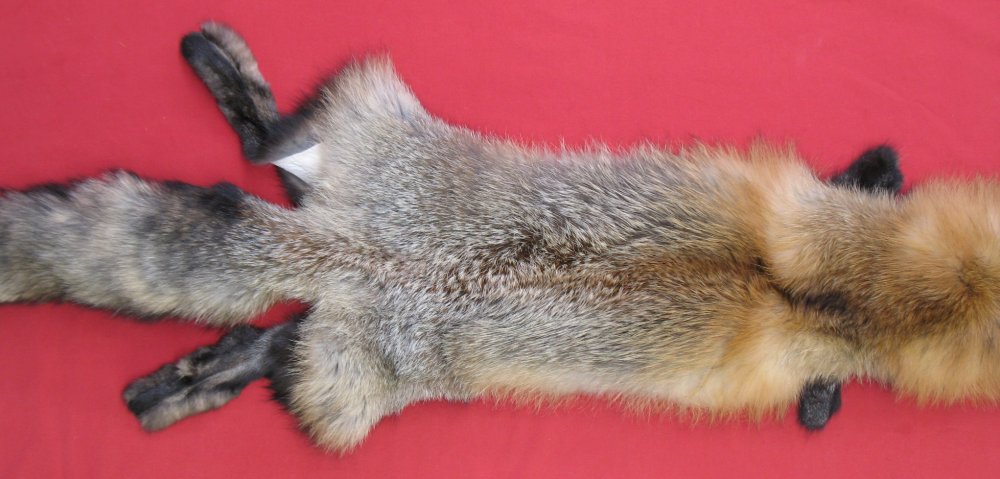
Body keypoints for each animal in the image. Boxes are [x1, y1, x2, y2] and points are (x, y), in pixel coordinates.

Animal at [3, 22, 996, 453]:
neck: (866, 293)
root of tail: (338, 253)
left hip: (336, 293)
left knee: (263, 214)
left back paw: (168, 384)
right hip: (359, 343)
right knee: (264, 195)